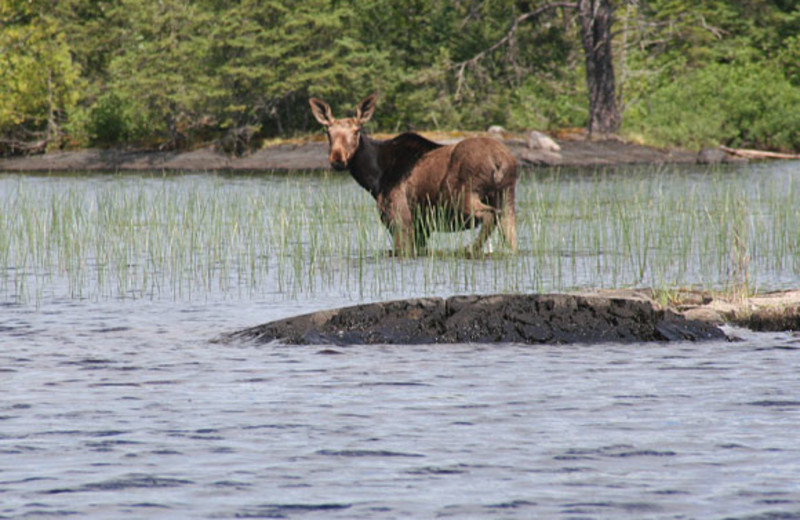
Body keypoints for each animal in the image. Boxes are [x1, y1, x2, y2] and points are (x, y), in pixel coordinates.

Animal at [306, 94, 520, 256]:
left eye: (357, 131)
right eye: (327, 131)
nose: (337, 159)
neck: (374, 179)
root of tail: (499, 161)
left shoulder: (400, 218)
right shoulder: (421, 227)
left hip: (462, 196)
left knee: (489, 215)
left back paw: (469, 249)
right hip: (506, 196)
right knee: (509, 233)